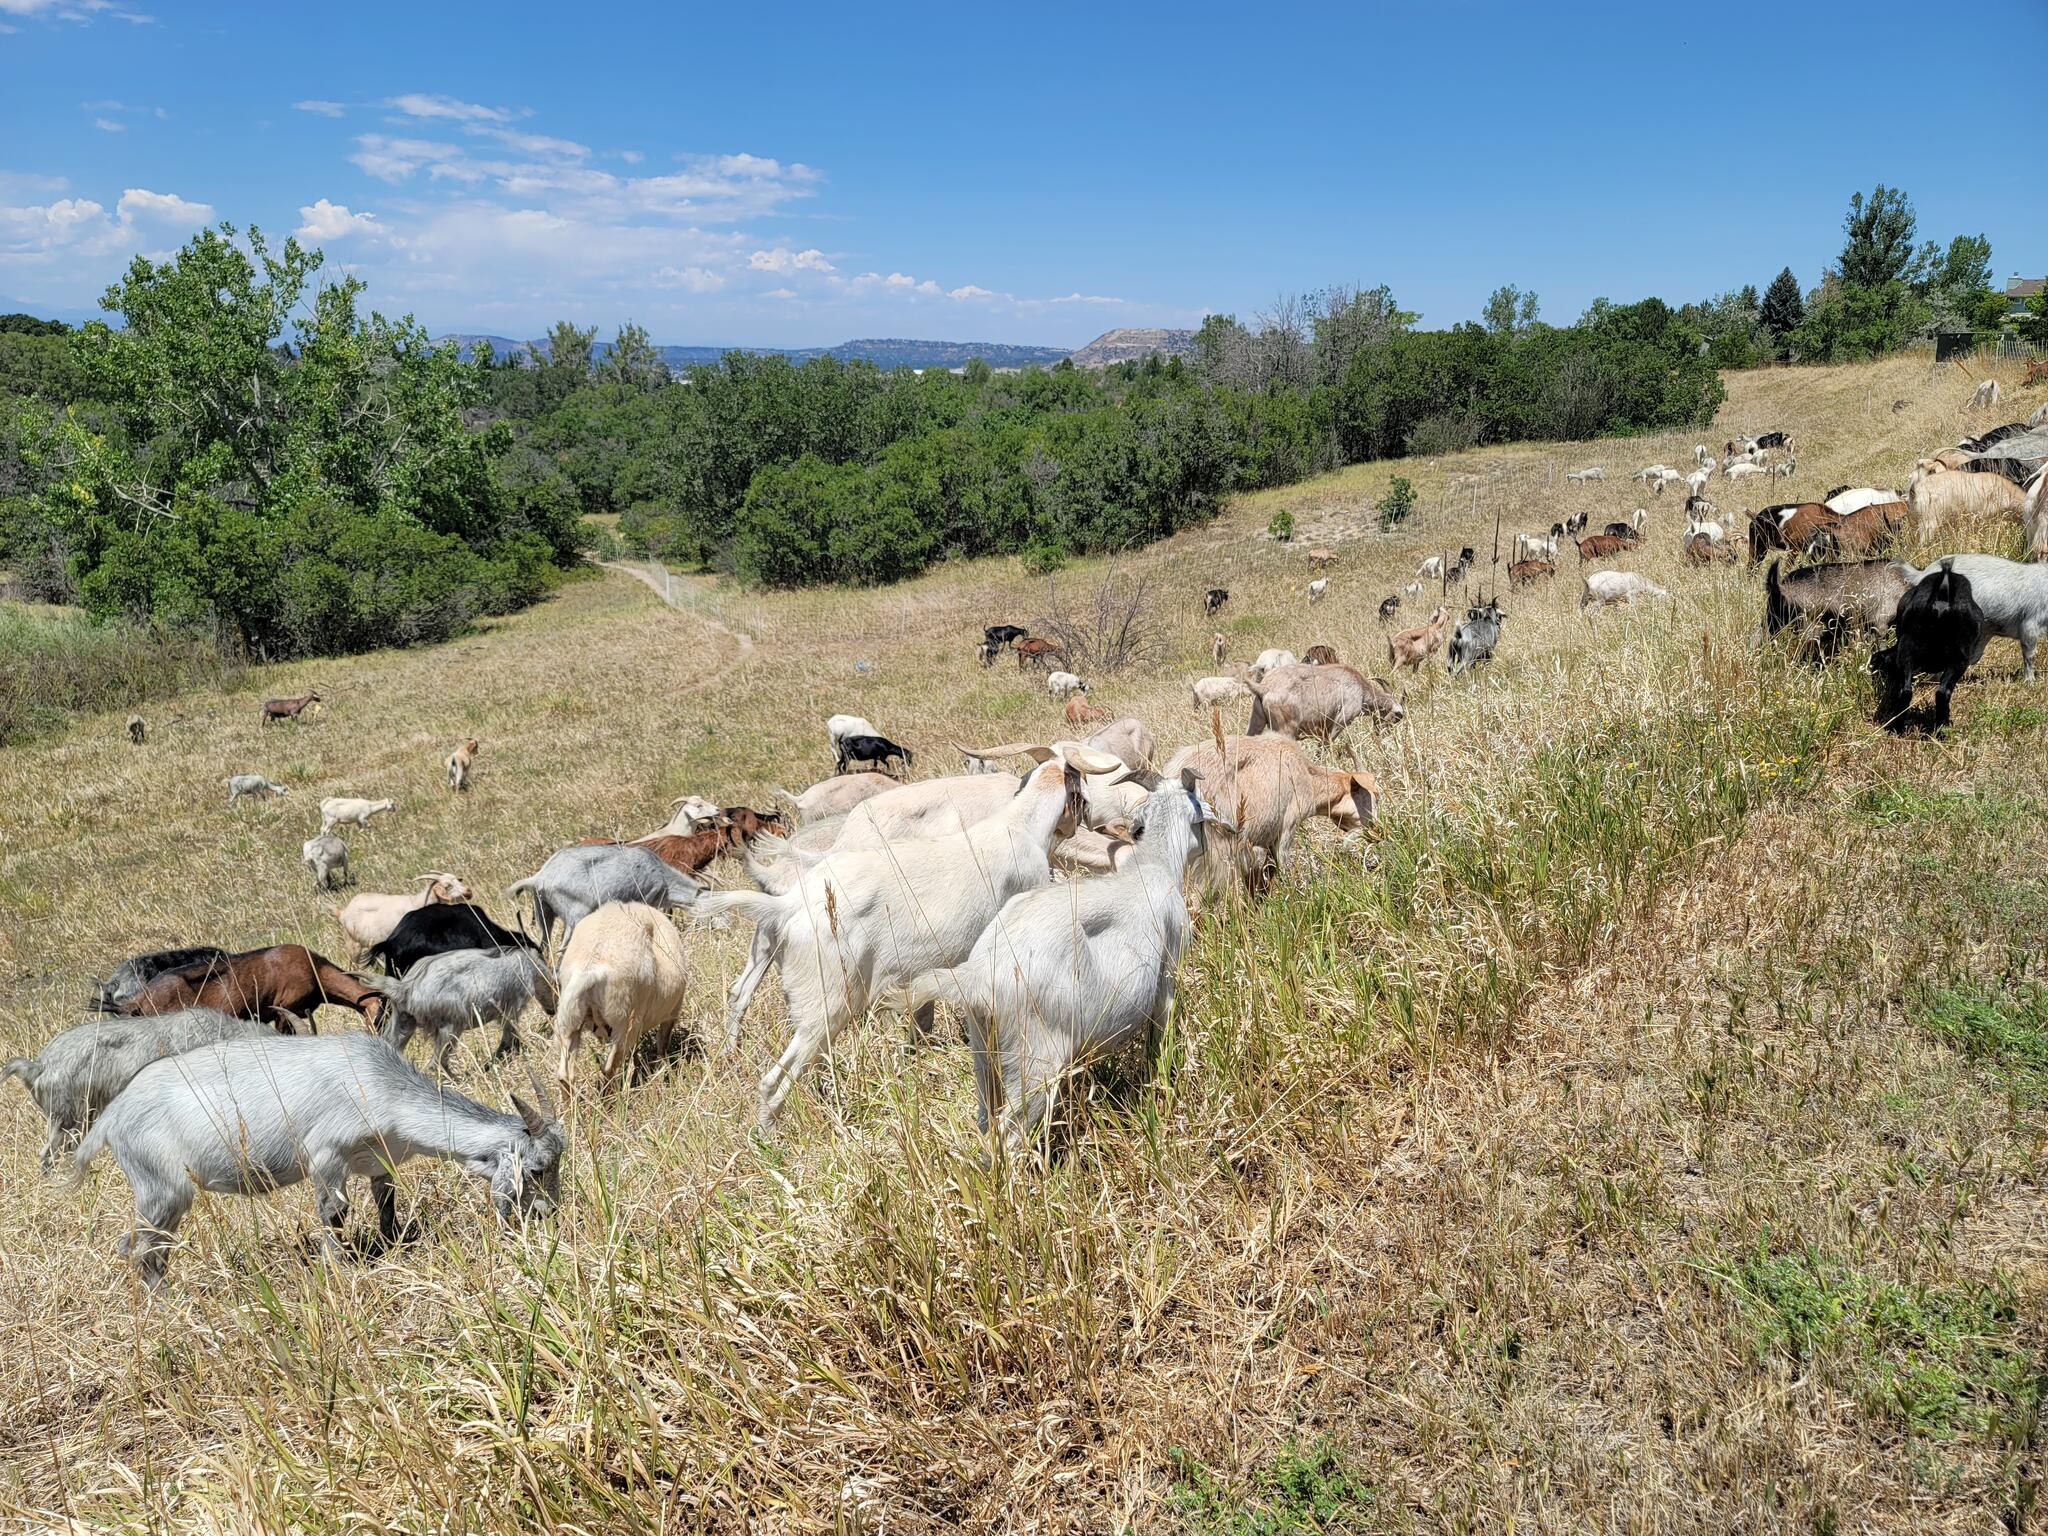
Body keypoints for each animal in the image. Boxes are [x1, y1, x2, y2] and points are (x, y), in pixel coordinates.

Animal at [73, 1033, 563, 1287]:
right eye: (537, 1170)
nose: (549, 1214)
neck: (380, 1082)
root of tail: (112, 1115)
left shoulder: (378, 1161)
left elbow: (386, 1205)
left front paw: (393, 1246)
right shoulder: (326, 1158)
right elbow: (334, 1213)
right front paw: (340, 1271)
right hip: (164, 1189)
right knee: (141, 1248)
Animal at [385, 946, 558, 1072]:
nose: (553, 1010)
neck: (529, 964)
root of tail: (406, 988)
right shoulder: (510, 1011)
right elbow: (509, 1042)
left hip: (403, 1023)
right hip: (451, 1028)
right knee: (437, 1063)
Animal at [903, 773, 1224, 1150]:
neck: (1150, 865)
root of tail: (978, 975)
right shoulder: (1168, 973)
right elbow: (1160, 1039)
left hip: (985, 1055)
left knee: (986, 1122)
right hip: (1035, 1061)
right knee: (1008, 1135)